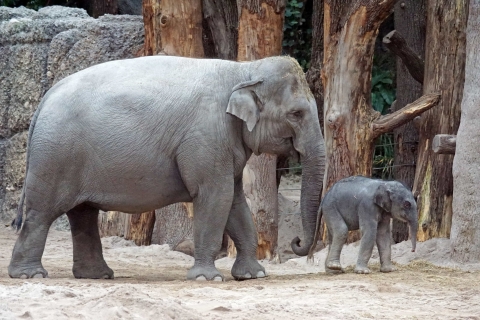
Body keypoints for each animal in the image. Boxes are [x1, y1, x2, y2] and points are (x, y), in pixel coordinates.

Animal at [8, 55, 326, 280]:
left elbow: (234, 201)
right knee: (42, 213)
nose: (298, 241)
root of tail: (46, 97)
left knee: (83, 214)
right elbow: (215, 197)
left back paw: (97, 276)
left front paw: (252, 275)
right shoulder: (206, 137)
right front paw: (207, 279)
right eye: (296, 113)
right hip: (56, 156)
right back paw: (30, 275)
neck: (245, 70)